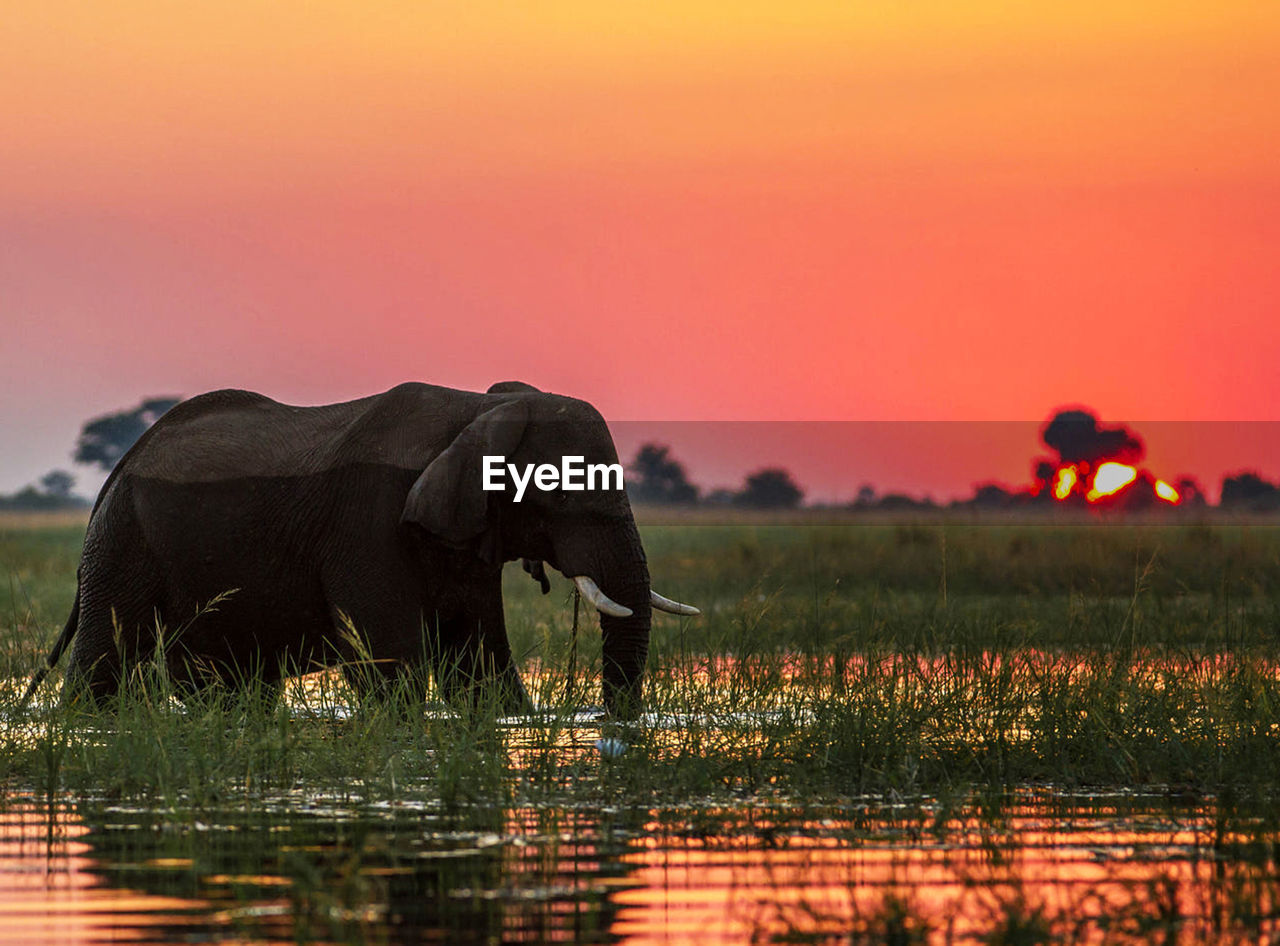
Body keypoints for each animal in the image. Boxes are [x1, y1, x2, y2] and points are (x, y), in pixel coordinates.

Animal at [22, 381, 701, 711]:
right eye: (563, 493)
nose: (610, 727)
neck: (479, 410)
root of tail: (123, 459)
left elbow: (478, 665)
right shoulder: (365, 522)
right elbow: (390, 667)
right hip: (122, 543)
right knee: (105, 661)